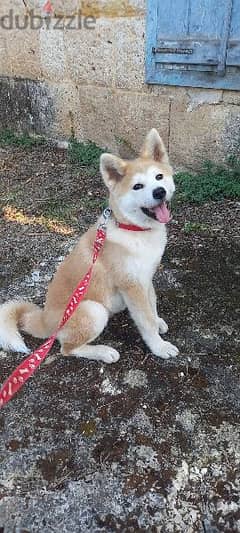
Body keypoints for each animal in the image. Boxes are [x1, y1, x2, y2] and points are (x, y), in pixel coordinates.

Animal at [0, 128, 178, 362]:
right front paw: (159, 346)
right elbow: (145, 321)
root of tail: (43, 321)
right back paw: (104, 352)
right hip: (94, 310)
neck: (132, 230)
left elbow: (152, 305)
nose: (159, 192)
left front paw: (158, 323)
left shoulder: (145, 278)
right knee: (67, 349)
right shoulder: (131, 285)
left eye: (159, 177)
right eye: (137, 186)